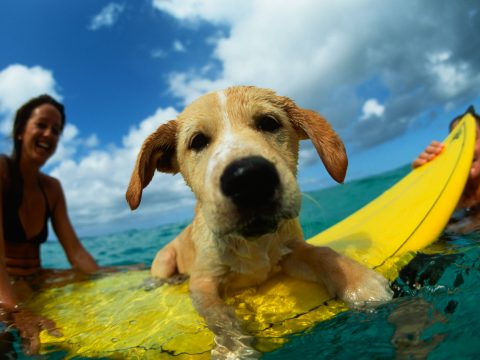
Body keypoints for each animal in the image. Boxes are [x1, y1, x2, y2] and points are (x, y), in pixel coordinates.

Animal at [125, 86, 392, 358]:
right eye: (198, 141)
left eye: (268, 123)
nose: (248, 178)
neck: (252, 243)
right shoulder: (202, 282)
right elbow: (218, 315)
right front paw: (232, 347)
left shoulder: (291, 250)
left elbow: (322, 254)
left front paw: (357, 281)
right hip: (165, 258)